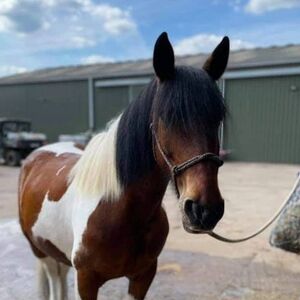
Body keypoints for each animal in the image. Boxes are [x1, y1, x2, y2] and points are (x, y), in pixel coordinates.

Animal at [18, 31, 230, 298]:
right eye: (167, 117)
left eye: (218, 119)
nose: (204, 210)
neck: (118, 208)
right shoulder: (85, 280)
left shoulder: (143, 276)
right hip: (40, 251)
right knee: (54, 280)